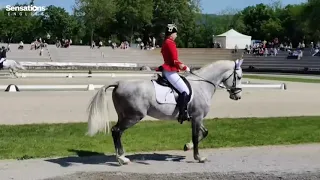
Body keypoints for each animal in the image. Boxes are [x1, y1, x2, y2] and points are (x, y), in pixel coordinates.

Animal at [86, 58, 244, 165]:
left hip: (124, 115)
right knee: (116, 131)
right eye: (239, 77)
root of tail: (119, 83)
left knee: (117, 132)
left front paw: (187, 147)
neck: (202, 85)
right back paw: (122, 159)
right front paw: (198, 157)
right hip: (133, 117)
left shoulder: (195, 117)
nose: (238, 96)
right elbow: (195, 136)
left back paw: (122, 157)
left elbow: (204, 133)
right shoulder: (197, 117)